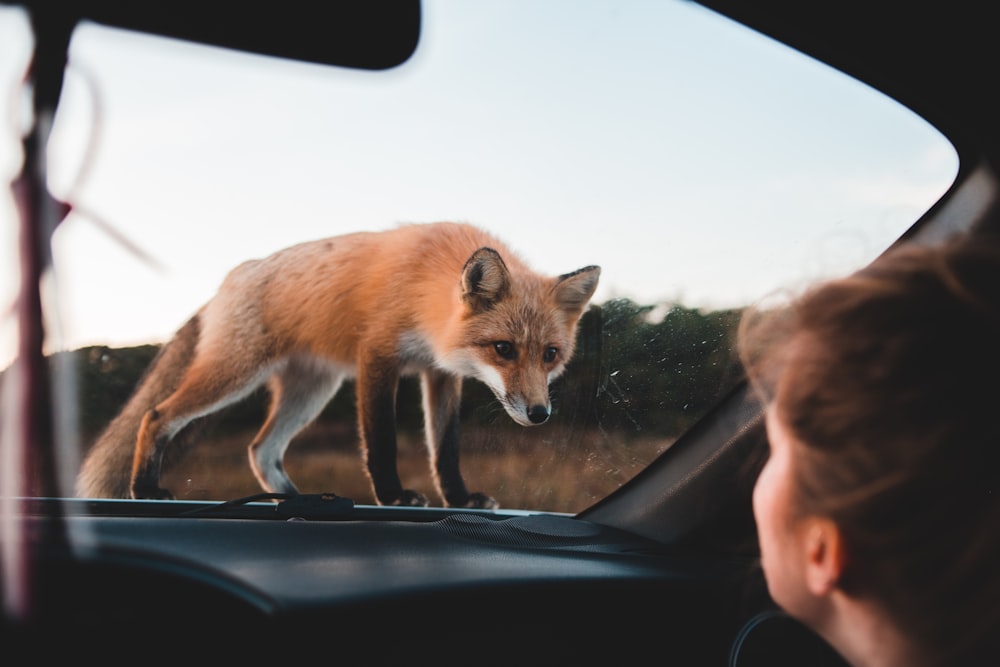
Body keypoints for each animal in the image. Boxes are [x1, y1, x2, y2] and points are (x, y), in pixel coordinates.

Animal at [76, 222, 600, 508]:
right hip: (236, 374)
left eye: (550, 354)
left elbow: (445, 451)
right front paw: (393, 496)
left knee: (261, 450)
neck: (425, 287)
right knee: (156, 415)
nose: (539, 414)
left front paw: (459, 499)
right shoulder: (378, 356)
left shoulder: (439, 372)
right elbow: (382, 442)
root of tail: (230, 280)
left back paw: (291, 501)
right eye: (504, 349)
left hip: (312, 391)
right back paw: (144, 489)